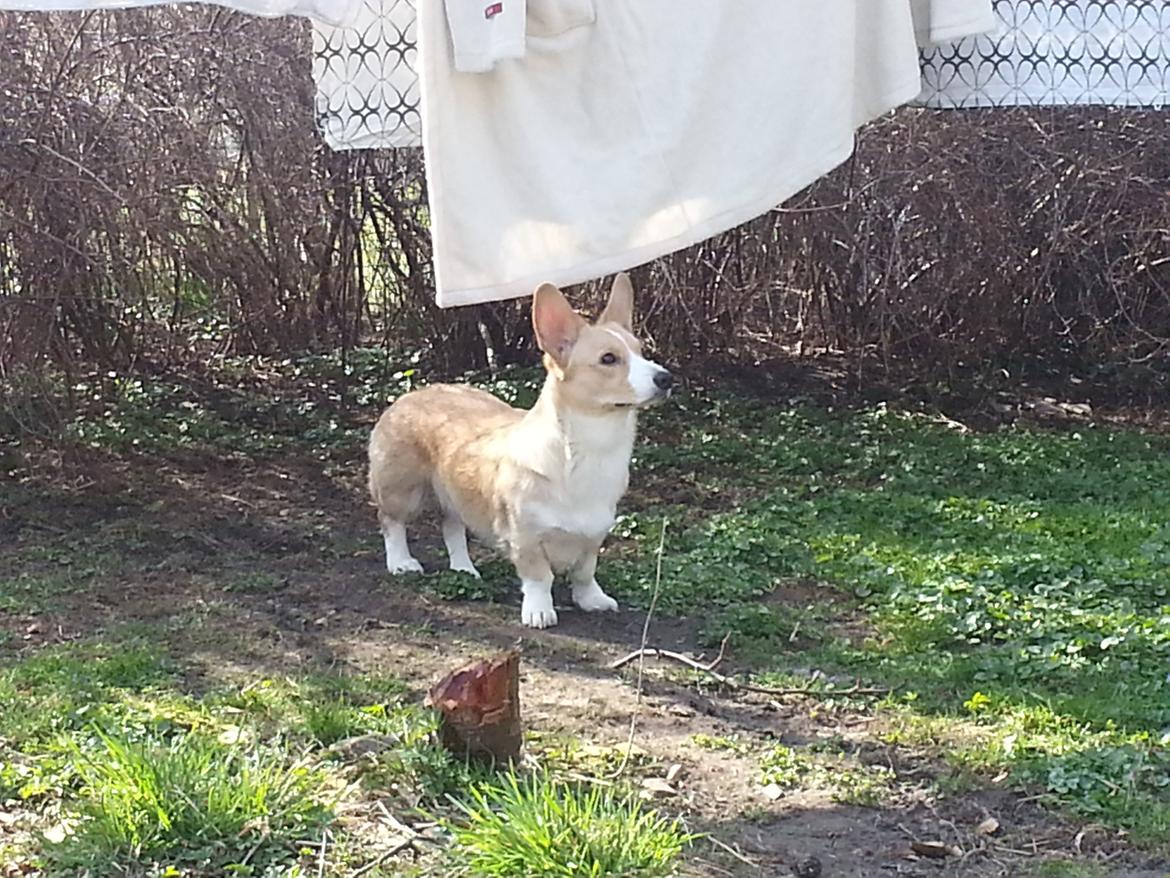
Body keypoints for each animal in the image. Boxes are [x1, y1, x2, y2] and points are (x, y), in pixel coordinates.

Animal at [369, 271, 673, 627]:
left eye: (641, 352)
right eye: (608, 359)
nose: (667, 378)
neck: (589, 450)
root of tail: (410, 394)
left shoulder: (593, 534)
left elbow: (585, 573)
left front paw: (592, 600)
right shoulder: (525, 536)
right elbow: (539, 577)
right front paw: (539, 611)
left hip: (455, 491)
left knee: (452, 526)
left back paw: (464, 568)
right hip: (402, 491)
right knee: (391, 521)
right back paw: (401, 562)